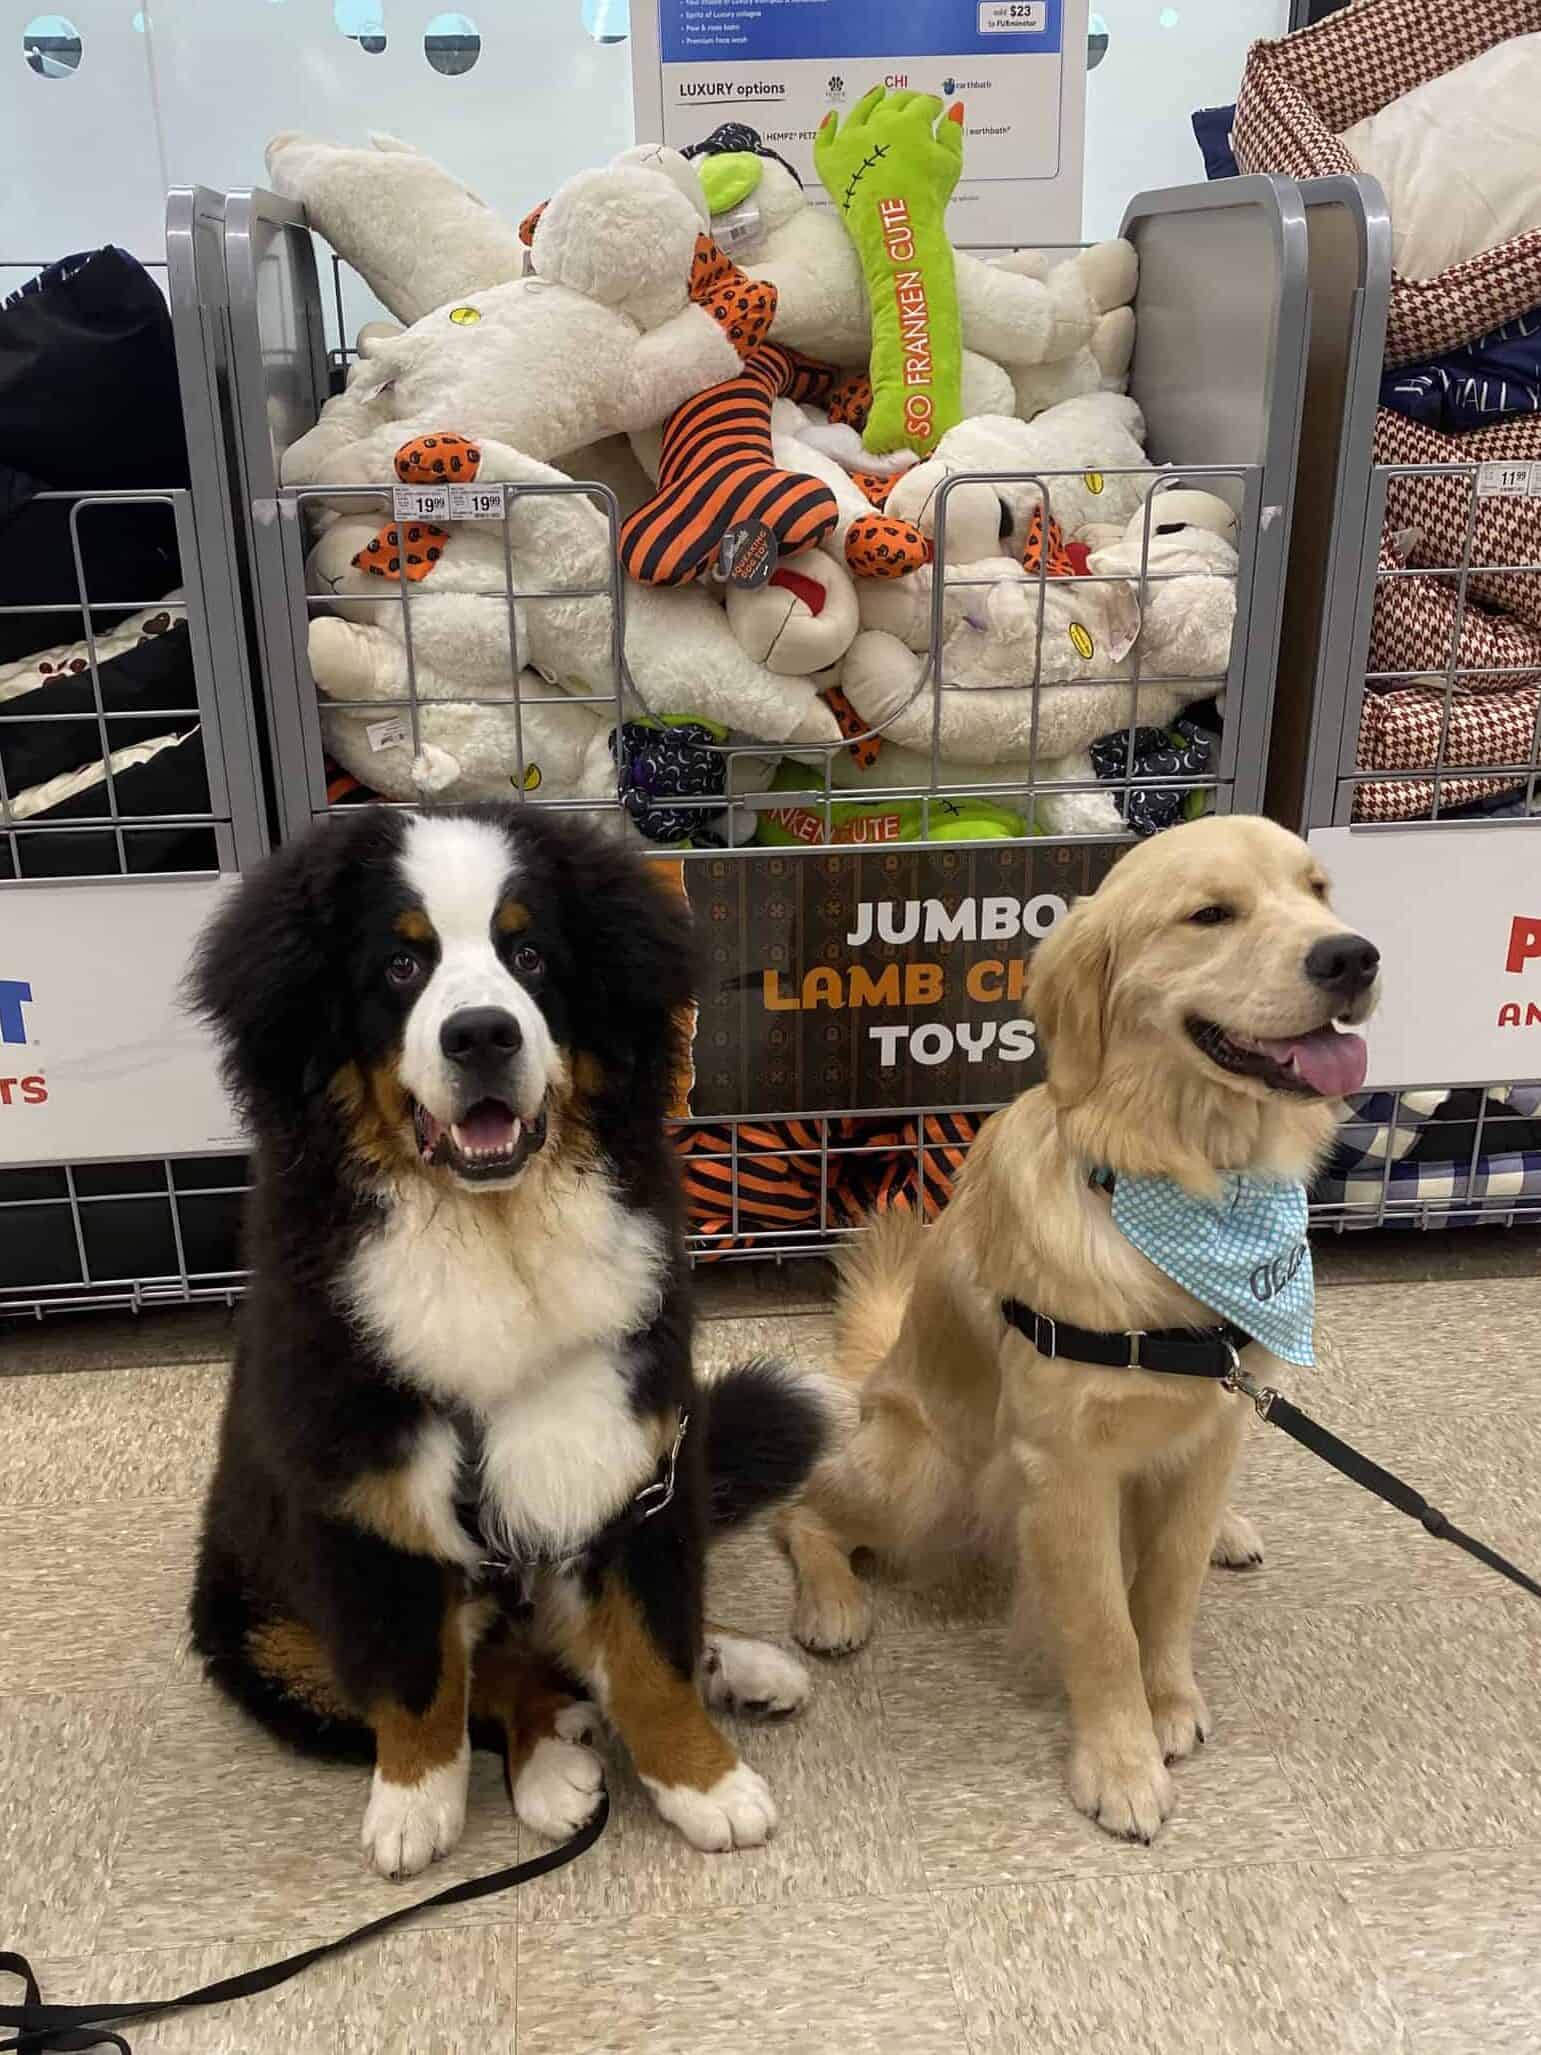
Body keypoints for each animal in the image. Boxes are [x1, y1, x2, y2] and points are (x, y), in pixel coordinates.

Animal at [190, 801, 834, 1882]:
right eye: (399, 966)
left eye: (528, 954)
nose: (482, 1033)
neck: (493, 1235)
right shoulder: (369, 1505)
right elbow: (418, 1683)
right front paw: (413, 1804)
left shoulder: (630, 1454)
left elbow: (649, 1653)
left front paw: (702, 1780)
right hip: (262, 1632)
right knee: (495, 1672)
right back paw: (550, 1765)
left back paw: (734, 1662)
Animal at [788, 817, 1380, 1849]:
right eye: (1208, 913)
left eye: (1318, 890)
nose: (1351, 955)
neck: (1191, 1182)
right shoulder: (1065, 1466)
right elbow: (1104, 1623)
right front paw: (1121, 1762)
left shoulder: (1215, 1424)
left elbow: (1167, 1586)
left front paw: (1167, 1697)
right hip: (924, 1471)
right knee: (806, 1508)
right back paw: (830, 1600)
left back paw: (1228, 1529)